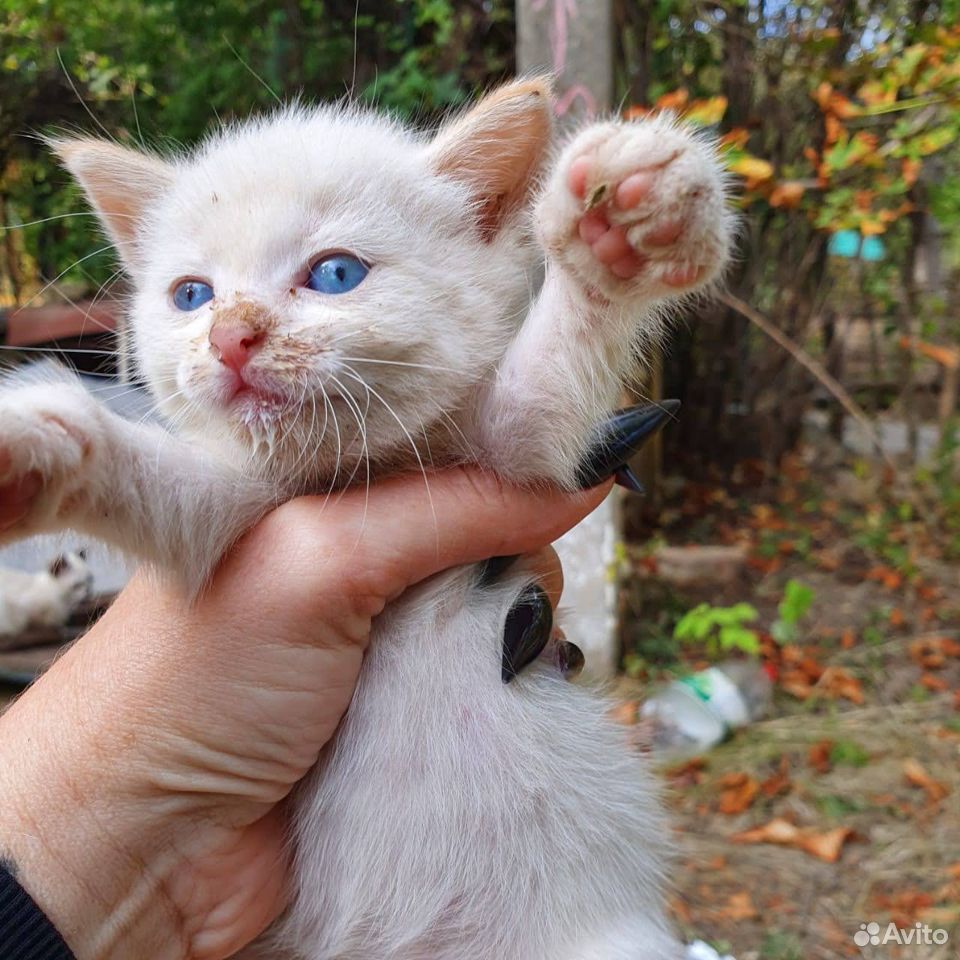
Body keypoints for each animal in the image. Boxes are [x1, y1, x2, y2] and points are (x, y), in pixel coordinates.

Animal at [1, 79, 736, 956]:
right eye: (191, 295)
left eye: (336, 273)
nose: (230, 336)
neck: (353, 471)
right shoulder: (234, 519)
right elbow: (164, 488)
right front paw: (36, 442)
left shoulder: (521, 449)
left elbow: (548, 389)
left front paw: (621, 229)